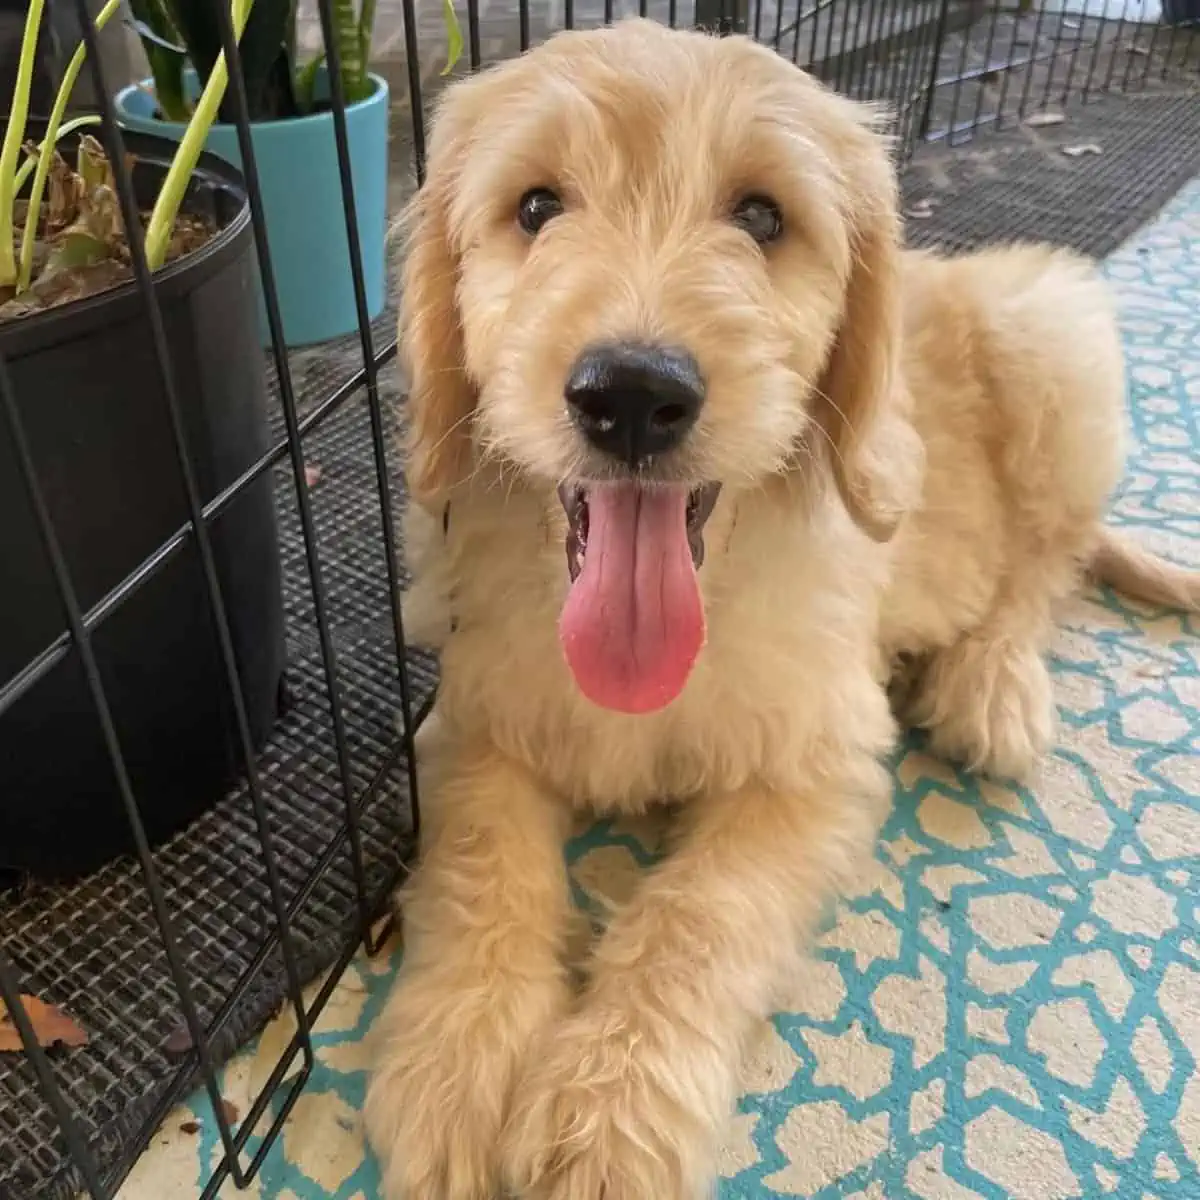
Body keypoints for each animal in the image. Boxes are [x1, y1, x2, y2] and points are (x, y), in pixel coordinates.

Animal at [364, 18, 1200, 1200]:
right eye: (535, 207)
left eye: (762, 216)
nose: (632, 393)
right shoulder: (475, 722)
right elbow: (484, 869)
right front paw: (458, 1062)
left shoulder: (817, 762)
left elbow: (700, 914)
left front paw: (612, 1114)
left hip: (1052, 330)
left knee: (1046, 564)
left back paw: (991, 686)